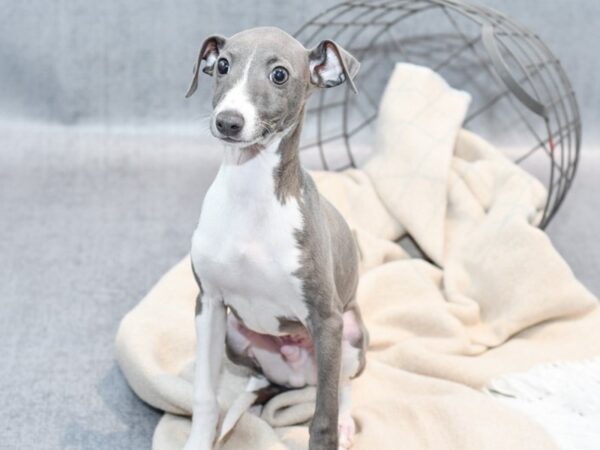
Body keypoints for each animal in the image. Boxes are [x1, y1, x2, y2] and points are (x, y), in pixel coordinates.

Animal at [185, 27, 368, 450]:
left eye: (280, 75)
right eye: (223, 65)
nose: (228, 122)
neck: (250, 196)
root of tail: (298, 377)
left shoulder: (327, 320)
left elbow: (322, 421)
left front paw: (333, 429)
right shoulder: (209, 303)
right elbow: (204, 396)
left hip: (350, 335)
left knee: (344, 387)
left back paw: (347, 422)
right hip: (235, 338)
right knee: (260, 382)